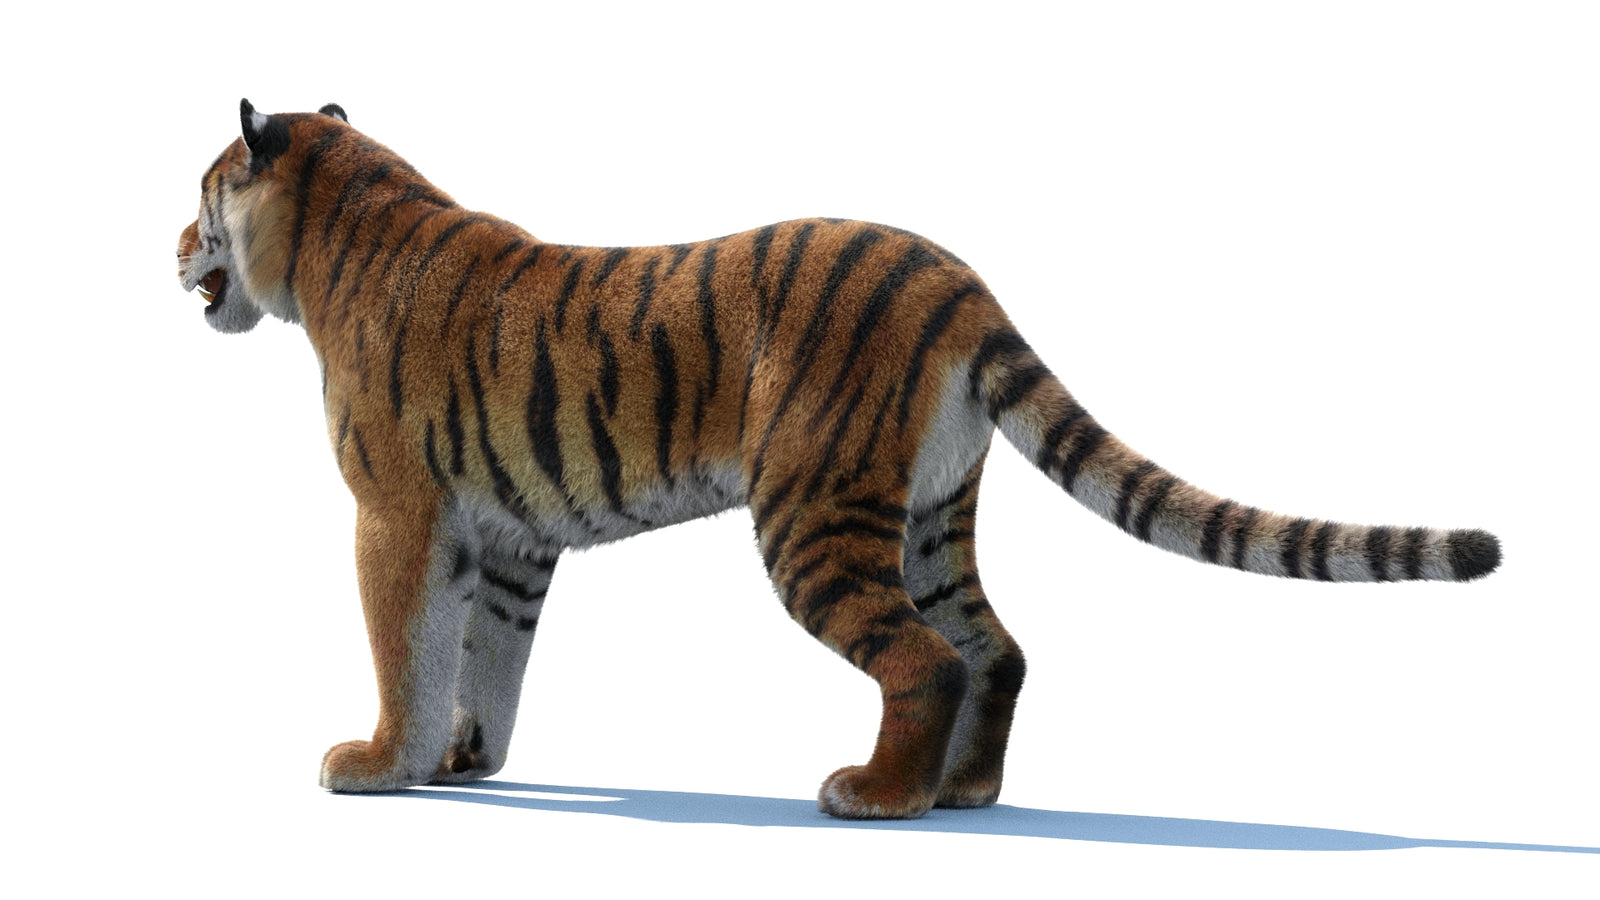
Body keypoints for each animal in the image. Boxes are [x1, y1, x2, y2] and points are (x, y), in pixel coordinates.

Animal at [176, 100, 1500, 820]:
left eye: (203, 193)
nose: (174, 240)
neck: (325, 243)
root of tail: (957, 279)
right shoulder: (510, 542)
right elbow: (485, 660)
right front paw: (464, 762)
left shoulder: (398, 512)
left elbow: (407, 645)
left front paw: (376, 763)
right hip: (926, 516)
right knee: (996, 649)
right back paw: (964, 792)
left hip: (812, 512)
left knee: (925, 659)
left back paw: (878, 796)